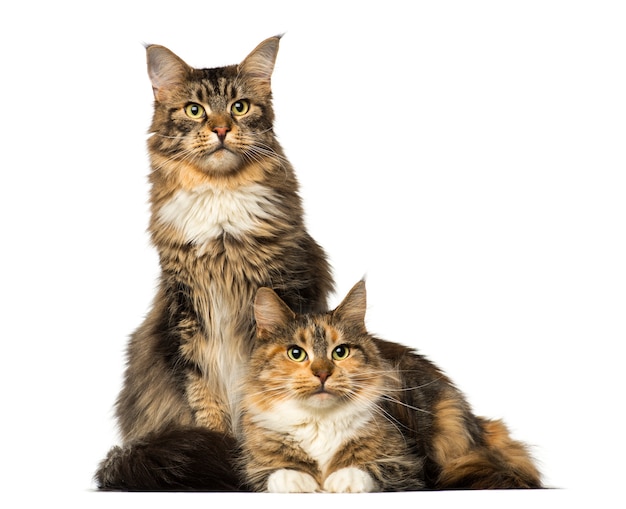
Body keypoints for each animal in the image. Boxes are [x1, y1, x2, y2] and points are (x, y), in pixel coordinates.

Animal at [94, 35, 332, 488]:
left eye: (239, 107)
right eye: (195, 110)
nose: (221, 129)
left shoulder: (285, 286)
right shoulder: (187, 313)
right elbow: (205, 398)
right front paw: (222, 450)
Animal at [239, 280, 424, 490]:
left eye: (340, 352)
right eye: (296, 353)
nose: (322, 373)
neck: (319, 422)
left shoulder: (406, 465)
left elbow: (377, 469)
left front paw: (344, 478)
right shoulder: (254, 465)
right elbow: (273, 471)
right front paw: (294, 479)